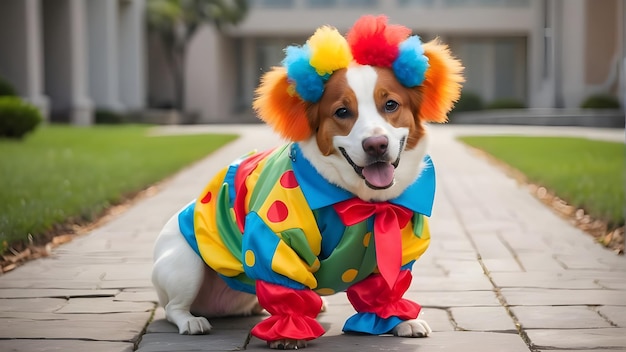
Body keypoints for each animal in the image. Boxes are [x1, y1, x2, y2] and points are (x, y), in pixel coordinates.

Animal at [152, 14, 458, 350]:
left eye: (390, 105)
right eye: (342, 111)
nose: (376, 145)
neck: (361, 202)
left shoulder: (396, 249)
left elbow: (386, 290)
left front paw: (399, 320)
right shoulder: (277, 240)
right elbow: (286, 288)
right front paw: (289, 331)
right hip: (185, 265)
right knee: (173, 308)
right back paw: (191, 321)